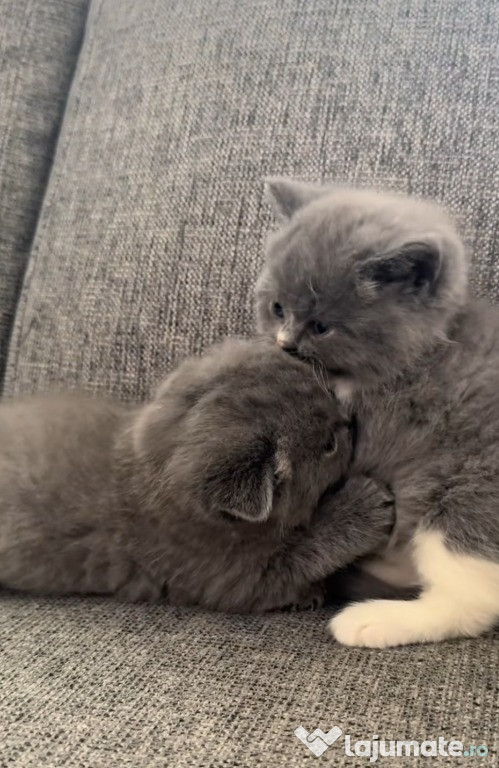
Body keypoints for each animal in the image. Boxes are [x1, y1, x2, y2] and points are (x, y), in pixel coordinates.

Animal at [0, 336, 394, 612]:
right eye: (328, 444)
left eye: (329, 394)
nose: (348, 421)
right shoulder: (232, 580)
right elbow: (305, 551)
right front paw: (362, 507)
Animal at [256, 182, 499, 648]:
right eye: (277, 308)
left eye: (321, 327)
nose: (285, 344)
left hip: (468, 495)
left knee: (471, 602)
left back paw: (371, 620)